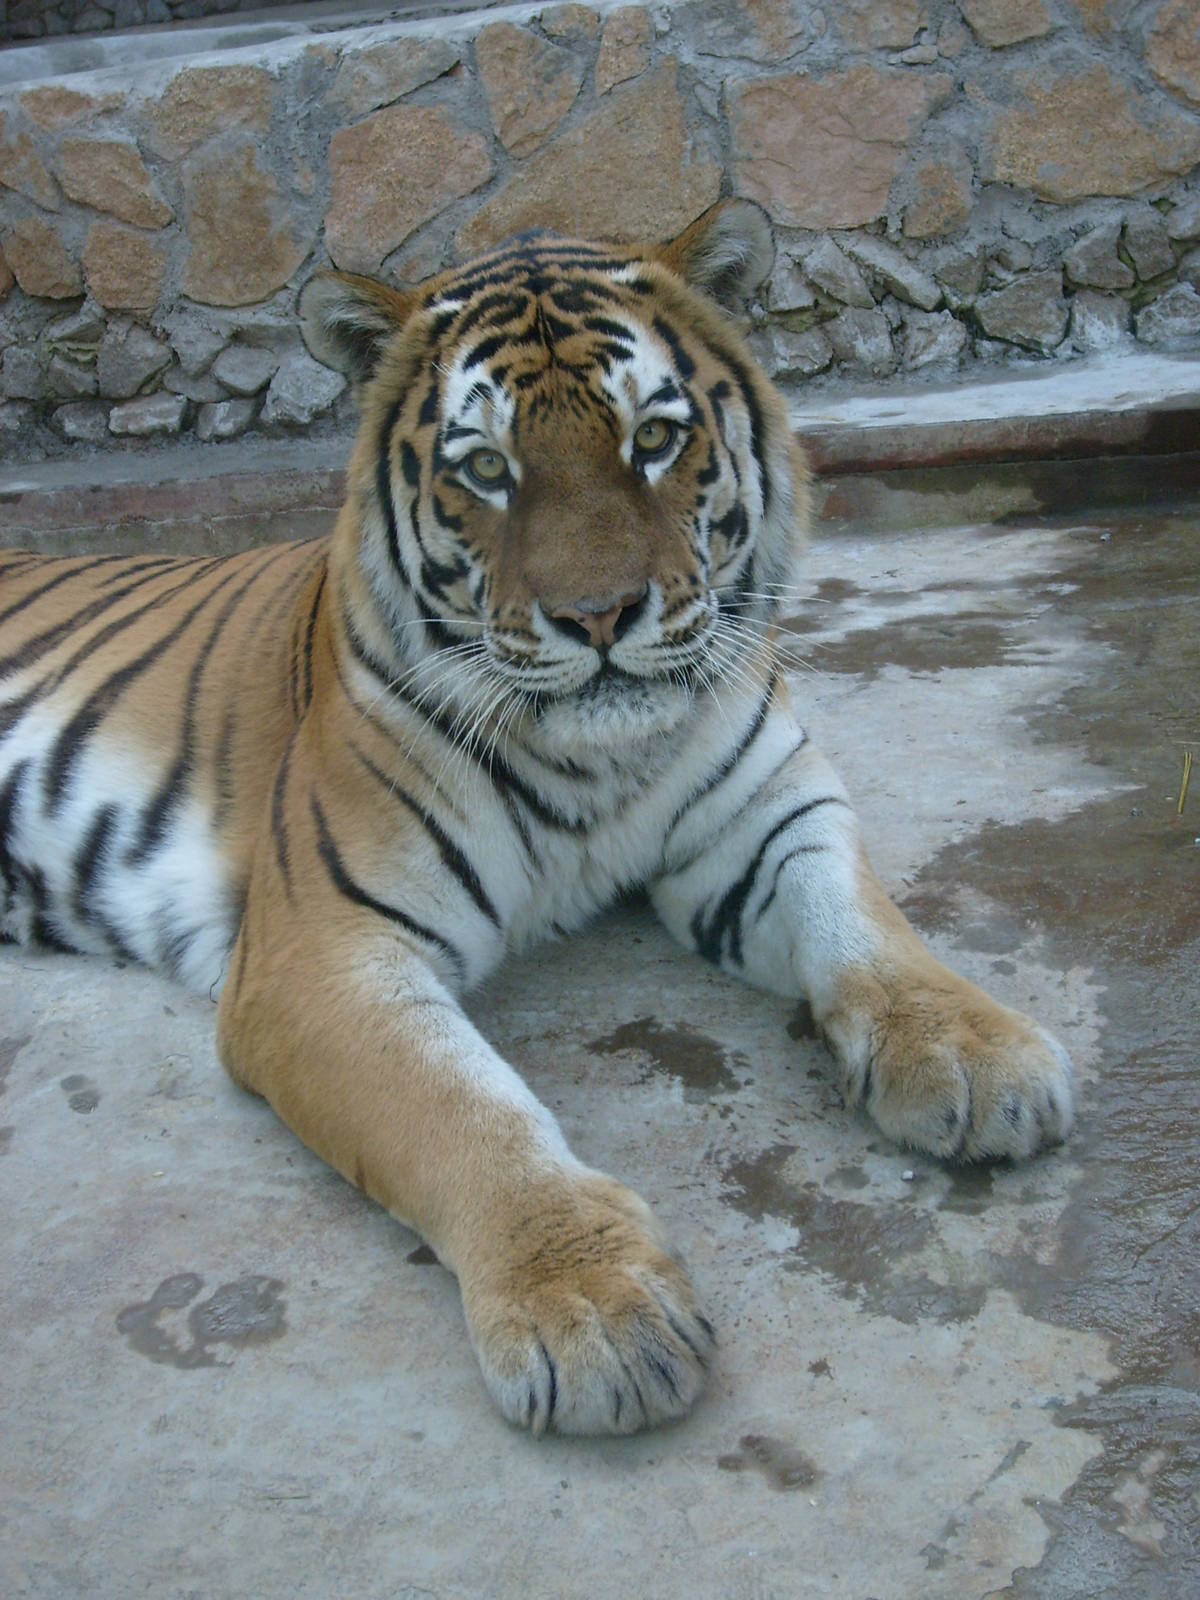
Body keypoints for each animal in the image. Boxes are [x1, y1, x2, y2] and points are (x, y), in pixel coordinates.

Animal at [0, 200, 1073, 1436]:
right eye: (485, 468)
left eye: (652, 439)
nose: (600, 616)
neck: (597, 760)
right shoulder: (328, 947)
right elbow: (464, 1111)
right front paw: (591, 1306)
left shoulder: (770, 820)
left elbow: (870, 930)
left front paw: (974, 1055)